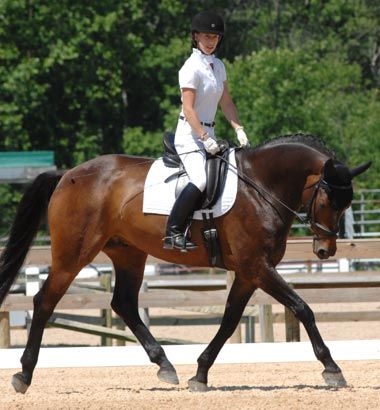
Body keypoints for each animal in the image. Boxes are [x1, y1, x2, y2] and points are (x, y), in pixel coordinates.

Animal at [0, 133, 372, 392]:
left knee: (124, 304)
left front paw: (201, 373)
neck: (260, 185)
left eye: (346, 203)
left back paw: (164, 365)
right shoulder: (257, 267)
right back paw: (24, 374)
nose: (325, 251)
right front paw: (332, 369)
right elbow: (302, 307)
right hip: (73, 254)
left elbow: (229, 322)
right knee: (44, 301)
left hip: (128, 253)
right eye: (327, 199)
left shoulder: (248, 273)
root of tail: (67, 175)